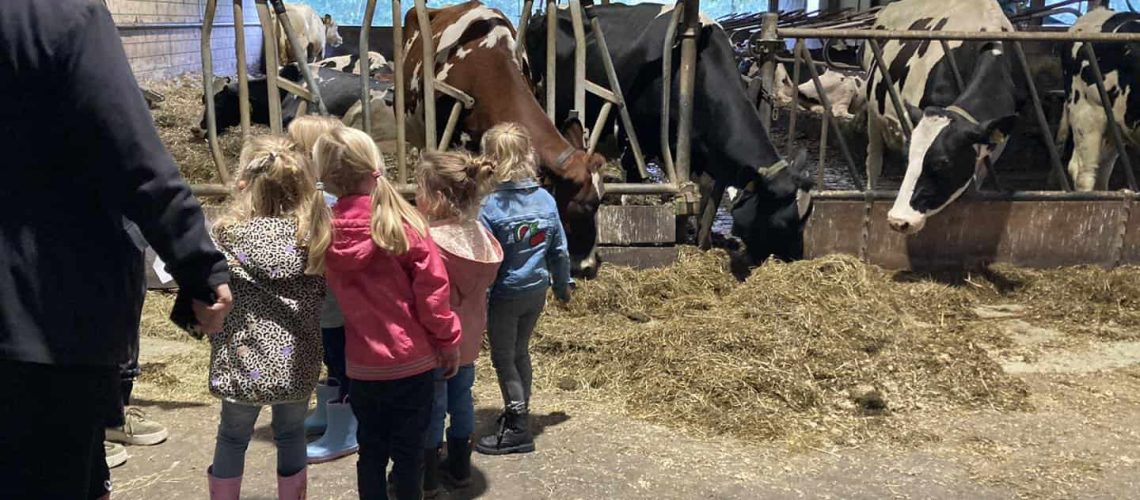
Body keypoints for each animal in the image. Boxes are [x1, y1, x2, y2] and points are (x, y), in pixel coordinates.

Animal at [528, 2, 816, 266]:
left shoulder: (702, 154)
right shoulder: (639, 139)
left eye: (806, 218)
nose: (796, 257)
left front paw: (701, 240)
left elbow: (704, 195)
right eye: (781, 224)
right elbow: (636, 186)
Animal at [866, 0, 1030, 234]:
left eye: (943, 163)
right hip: (872, 114)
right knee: (872, 166)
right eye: (908, 158)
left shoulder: (993, 147)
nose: (899, 220)